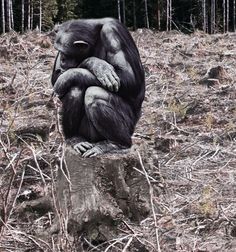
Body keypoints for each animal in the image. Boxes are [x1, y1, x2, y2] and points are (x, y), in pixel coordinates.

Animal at [50, 17, 145, 157]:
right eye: (58, 50)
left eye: (64, 52)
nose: (61, 58)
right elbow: (55, 77)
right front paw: (98, 66)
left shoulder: (112, 33)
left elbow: (131, 79)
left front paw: (92, 64)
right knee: (75, 90)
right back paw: (75, 139)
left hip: (128, 127)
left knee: (94, 94)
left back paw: (116, 144)